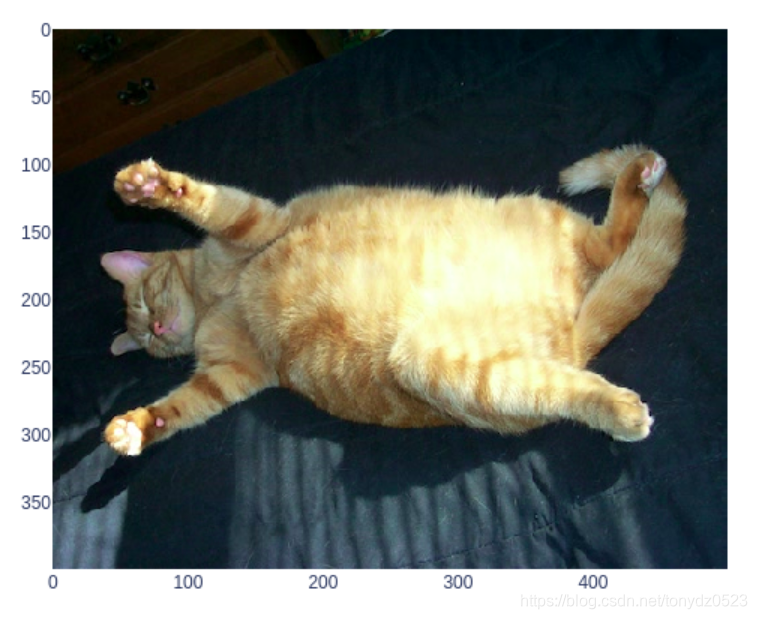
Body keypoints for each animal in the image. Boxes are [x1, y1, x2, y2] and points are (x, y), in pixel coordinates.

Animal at [101, 145, 686, 456]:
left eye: (146, 303)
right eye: (145, 336)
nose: (157, 331)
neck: (212, 304)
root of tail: (573, 331)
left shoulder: (254, 225)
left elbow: (204, 202)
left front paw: (147, 187)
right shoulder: (227, 375)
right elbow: (179, 409)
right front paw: (135, 427)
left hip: (536, 217)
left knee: (611, 242)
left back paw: (638, 176)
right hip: (448, 366)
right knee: (563, 379)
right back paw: (620, 411)